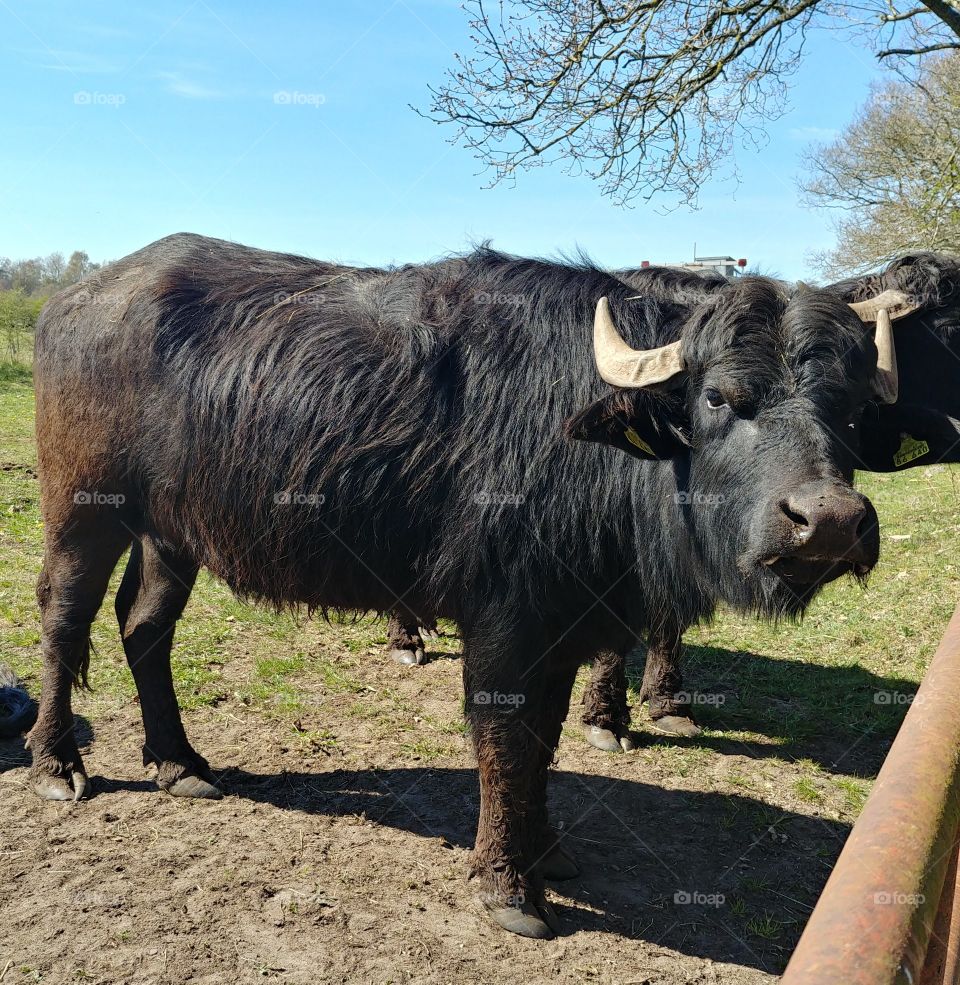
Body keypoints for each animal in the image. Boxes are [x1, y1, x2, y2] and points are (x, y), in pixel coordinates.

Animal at [27, 233, 898, 939]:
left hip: (172, 532)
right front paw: (507, 882)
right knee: (64, 616)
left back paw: (178, 760)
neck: (588, 448)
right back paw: (57, 763)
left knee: (145, 626)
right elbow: (506, 741)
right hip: (84, 508)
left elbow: (544, 741)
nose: (828, 521)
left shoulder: (563, 626)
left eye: (851, 410)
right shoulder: (505, 623)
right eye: (719, 396)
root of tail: (78, 297)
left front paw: (545, 849)